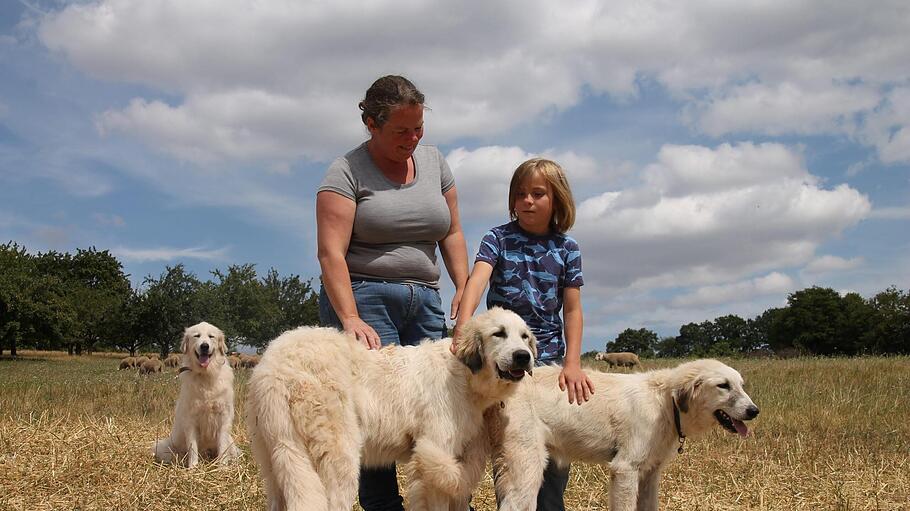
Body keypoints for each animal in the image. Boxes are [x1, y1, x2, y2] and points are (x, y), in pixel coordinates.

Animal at [151, 322, 240, 470]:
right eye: (196, 336)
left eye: (211, 336)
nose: (204, 346)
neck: (205, 376)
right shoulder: (190, 419)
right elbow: (193, 447)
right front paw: (193, 467)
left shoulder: (224, 417)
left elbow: (222, 446)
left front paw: (222, 467)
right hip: (163, 446)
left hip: (232, 444)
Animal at [246, 308, 536, 511]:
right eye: (499, 333)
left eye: (525, 337)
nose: (524, 356)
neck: (463, 373)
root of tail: (275, 363)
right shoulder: (435, 451)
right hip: (338, 459)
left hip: (279, 458)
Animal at [492, 360, 764, 511]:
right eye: (723, 386)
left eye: (741, 385)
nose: (754, 411)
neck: (665, 402)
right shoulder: (625, 469)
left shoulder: (650, 473)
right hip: (528, 468)